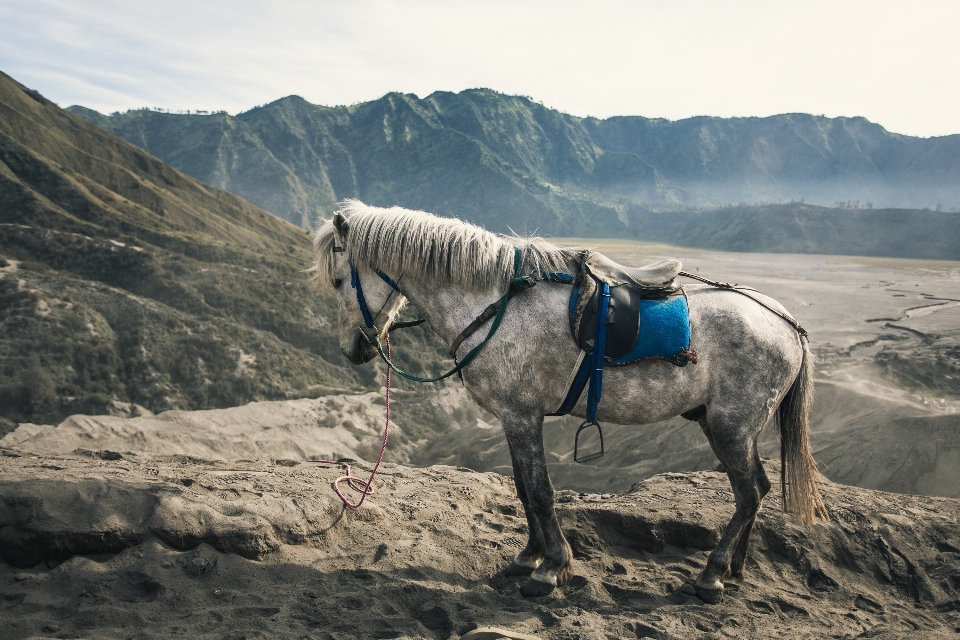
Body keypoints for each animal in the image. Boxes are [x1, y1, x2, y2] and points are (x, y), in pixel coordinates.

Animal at [314, 201, 824, 604]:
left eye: (339, 280)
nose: (352, 349)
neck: (496, 304)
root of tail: (787, 322)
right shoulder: (512, 419)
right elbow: (524, 490)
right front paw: (529, 556)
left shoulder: (522, 416)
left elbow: (540, 492)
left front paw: (551, 568)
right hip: (724, 426)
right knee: (756, 488)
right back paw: (735, 568)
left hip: (730, 426)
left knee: (750, 492)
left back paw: (712, 576)